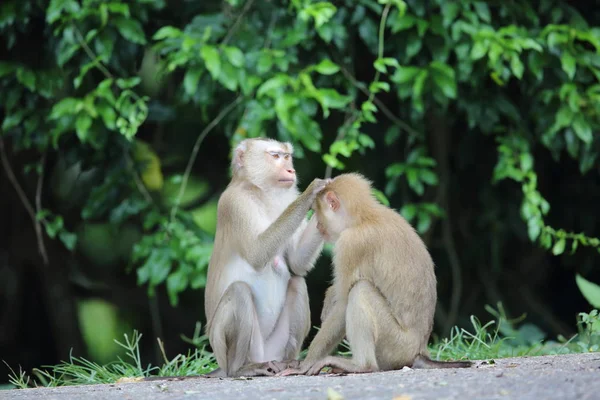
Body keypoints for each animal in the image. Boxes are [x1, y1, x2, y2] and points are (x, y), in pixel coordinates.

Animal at [204, 138, 330, 378]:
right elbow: (257, 253)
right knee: (240, 291)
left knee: (297, 283)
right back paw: (241, 369)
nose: (291, 169)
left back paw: (289, 363)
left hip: (274, 347)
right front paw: (311, 192)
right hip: (231, 347)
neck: (260, 192)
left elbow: (297, 264)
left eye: (287, 157)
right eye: (276, 156)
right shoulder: (234, 204)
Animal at [278, 173, 472, 376]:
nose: (317, 224)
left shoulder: (350, 243)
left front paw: (306, 364)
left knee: (360, 290)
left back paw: (361, 366)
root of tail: (419, 351)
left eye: (317, 211)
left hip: (395, 345)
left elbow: (342, 306)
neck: (364, 218)